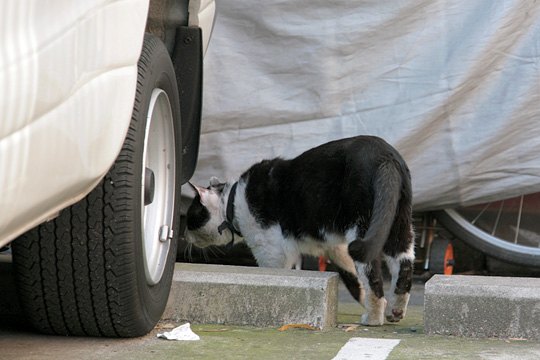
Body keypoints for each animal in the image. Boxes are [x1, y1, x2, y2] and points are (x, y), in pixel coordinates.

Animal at [186, 136, 414, 326]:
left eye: (190, 219)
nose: (184, 235)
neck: (231, 203)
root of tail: (385, 157)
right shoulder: (335, 247)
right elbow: (351, 279)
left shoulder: (271, 251)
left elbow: (272, 273)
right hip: (398, 226)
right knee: (403, 265)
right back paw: (395, 311)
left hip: (361, 227)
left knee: (373, 275)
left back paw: (374, 318)